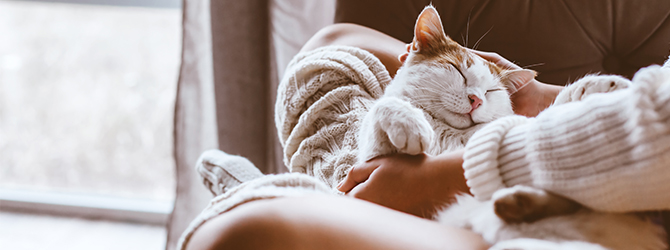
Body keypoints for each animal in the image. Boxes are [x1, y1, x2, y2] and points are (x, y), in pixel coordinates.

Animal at [360, 4, 664, 250]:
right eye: (458, 71)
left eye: (491, 91)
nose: (476, 99)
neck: (448, 131)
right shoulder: (371, 157)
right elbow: (382, 108)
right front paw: (408, 122)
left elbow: (542, 117)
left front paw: (597, 84)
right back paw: (517, 203)